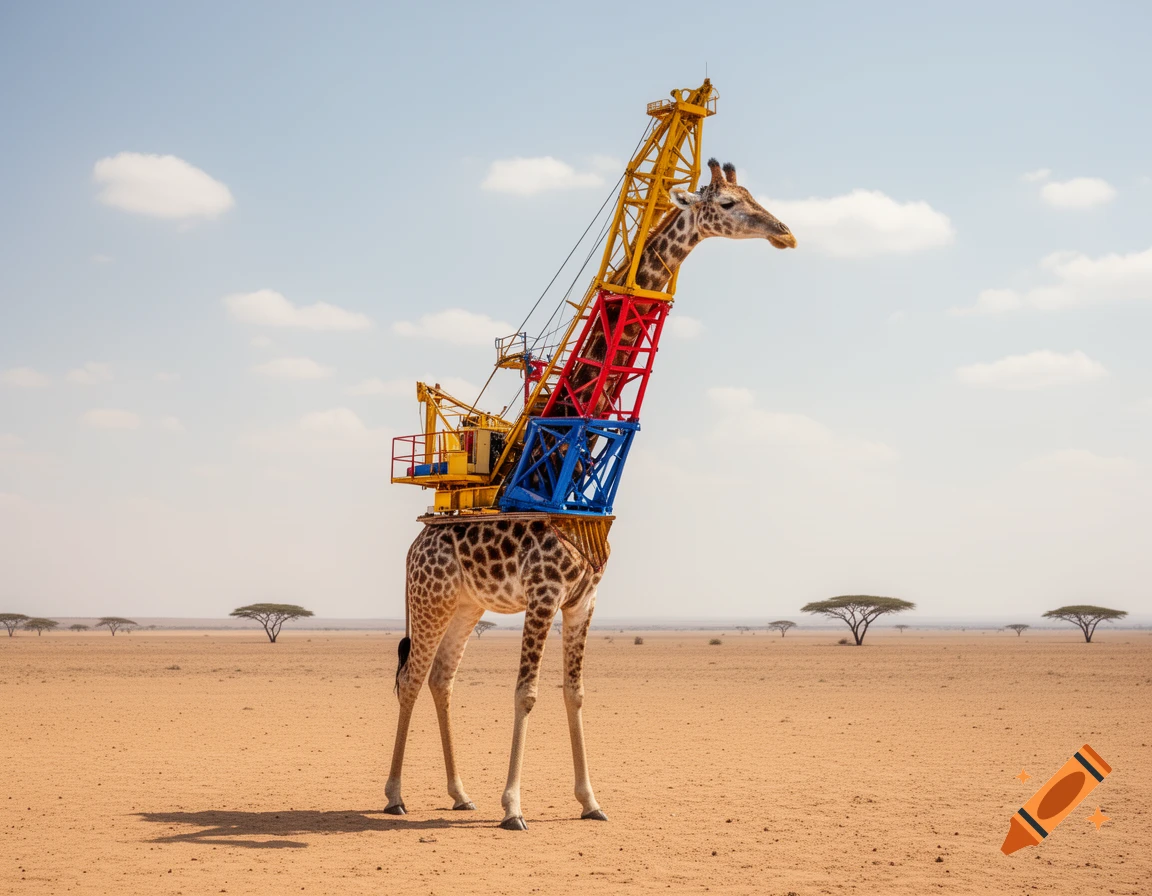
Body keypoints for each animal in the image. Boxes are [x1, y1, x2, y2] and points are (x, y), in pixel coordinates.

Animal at [385, 159, 795, 830]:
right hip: (431, 599)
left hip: (467, 605)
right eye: (731, 203)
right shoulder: (544, 593)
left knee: (443, 677)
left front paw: (590, 801)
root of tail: (419, 539)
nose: (785, 233)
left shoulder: (585, 601)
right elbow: (526, 692)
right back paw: (395, 794)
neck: (562, 471)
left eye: (754, 193)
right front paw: (514, 808)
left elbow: (574, 693)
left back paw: (459, 793)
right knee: (412, 676)